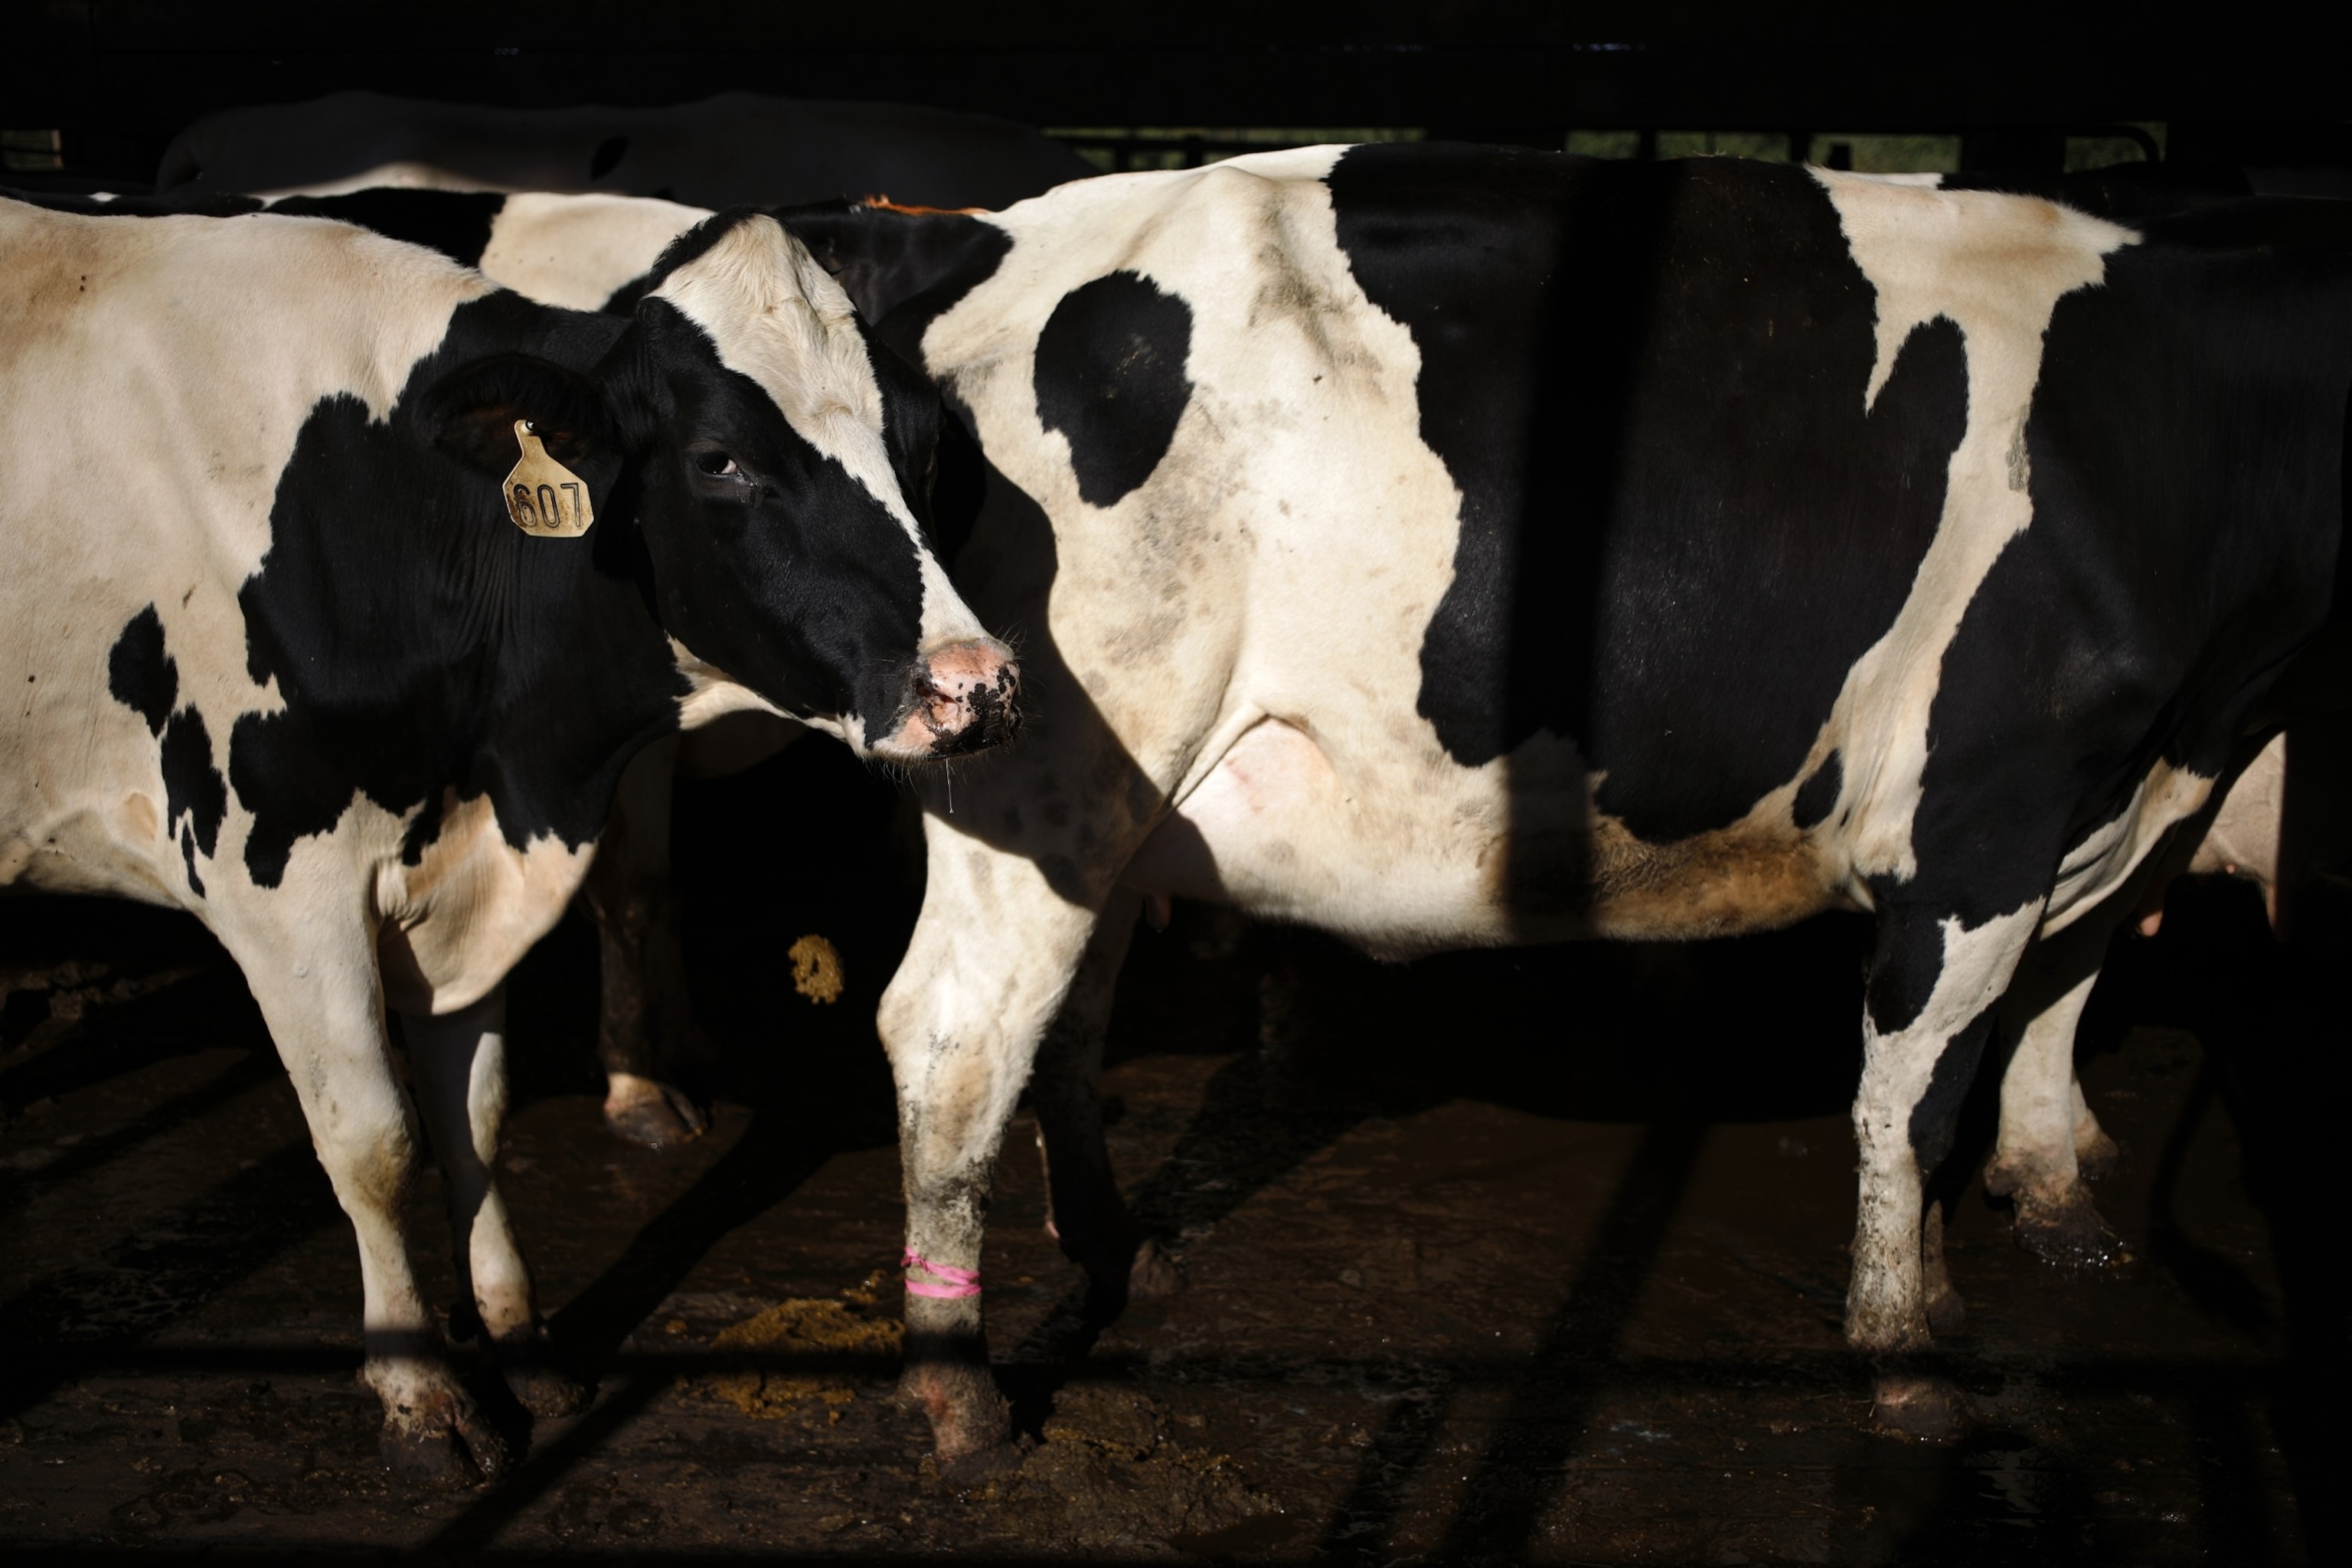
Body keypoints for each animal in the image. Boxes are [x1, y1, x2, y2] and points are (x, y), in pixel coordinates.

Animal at [5, 196, 1025, 1485]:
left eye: (922, 445)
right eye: (720, 460)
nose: (974, 684)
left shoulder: (472, 883)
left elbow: (475, 1119)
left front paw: (519, 1340)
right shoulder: (280, 887)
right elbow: (373, 1140)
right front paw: (419, 1389)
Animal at [757, 146, 2352, 1457]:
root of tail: (984, 230)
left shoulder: (2112, 804)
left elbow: (2056, 1000)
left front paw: (2036, 1228)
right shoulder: (1980, 817)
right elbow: (1914, 1090)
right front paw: (1903, 1353)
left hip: (1115, 807)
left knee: (1067, 1016)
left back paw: (1115, 1247)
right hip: (1047, 763)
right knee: (959, 1028)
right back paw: (957, 1387)